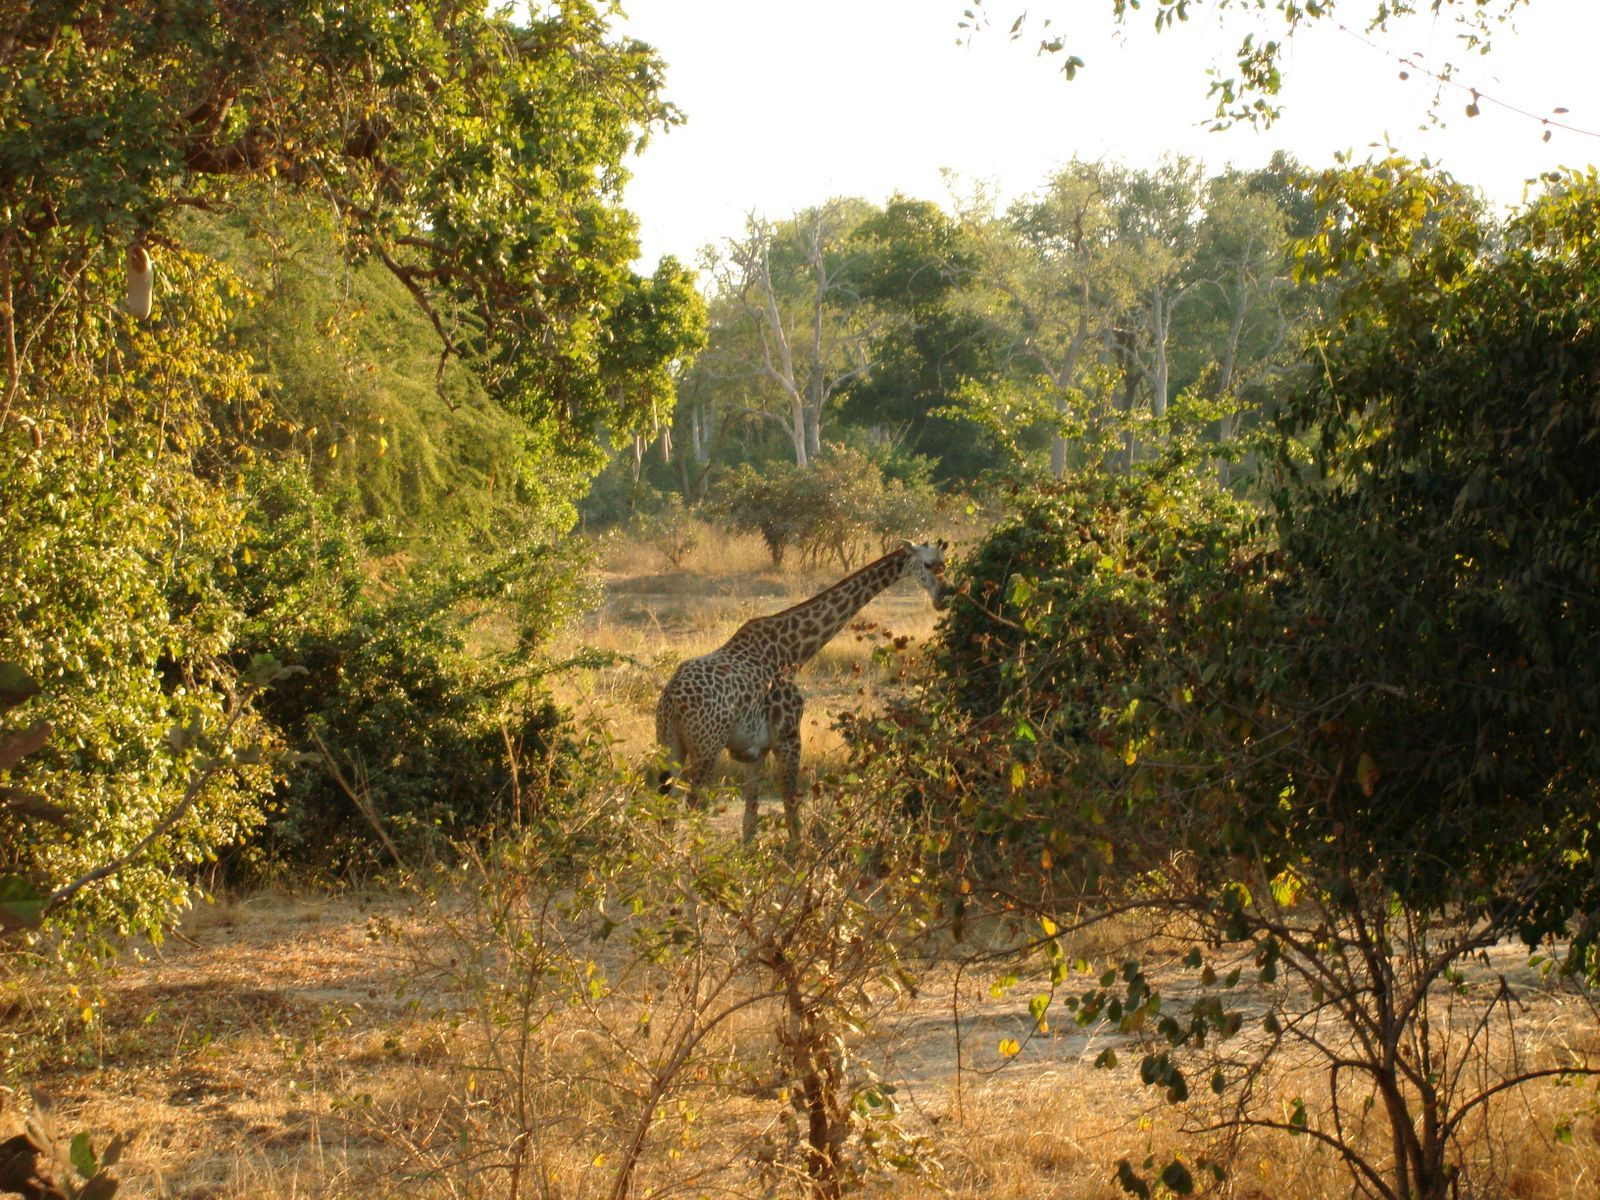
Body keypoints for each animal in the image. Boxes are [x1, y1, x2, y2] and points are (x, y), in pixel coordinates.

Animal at [652, 544, 947, 844]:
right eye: (928, 564)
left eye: (943, 564)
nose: (944, 596)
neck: (793, 652)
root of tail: (672, 698)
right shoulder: (789, 737)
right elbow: (789, 799)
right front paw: (796, 852)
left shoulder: (753, 751)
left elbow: (751, 817)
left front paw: (749, 852)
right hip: (706, 748)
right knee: (689, 805)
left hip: (670, 743)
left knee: (668, 807)